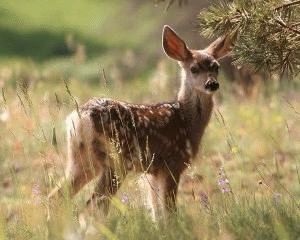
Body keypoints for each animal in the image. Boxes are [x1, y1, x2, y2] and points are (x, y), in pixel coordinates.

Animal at [48, 25, 232, 218]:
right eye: (194, 68)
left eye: (216, 67)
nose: (212, 84)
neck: (186, 120)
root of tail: (80, 118)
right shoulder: (172, 162)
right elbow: (169, 210)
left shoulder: (153, 171)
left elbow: (156, 211)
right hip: (116, 160)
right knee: (94, 204)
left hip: (81, 159)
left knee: (57, 196)